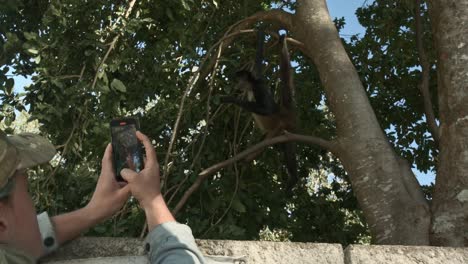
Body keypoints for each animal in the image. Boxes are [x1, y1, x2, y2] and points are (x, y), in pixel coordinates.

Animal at [222, 30, 298, 194]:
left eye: (240, 80)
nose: (237, 85)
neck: (251, 86)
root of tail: (283, 111)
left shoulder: (259, 87)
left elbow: (267, 109)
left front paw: (230, 99)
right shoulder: (257, 77)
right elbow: (258, 59)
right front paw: (261, 30)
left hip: (281, 127)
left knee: (277, 146)